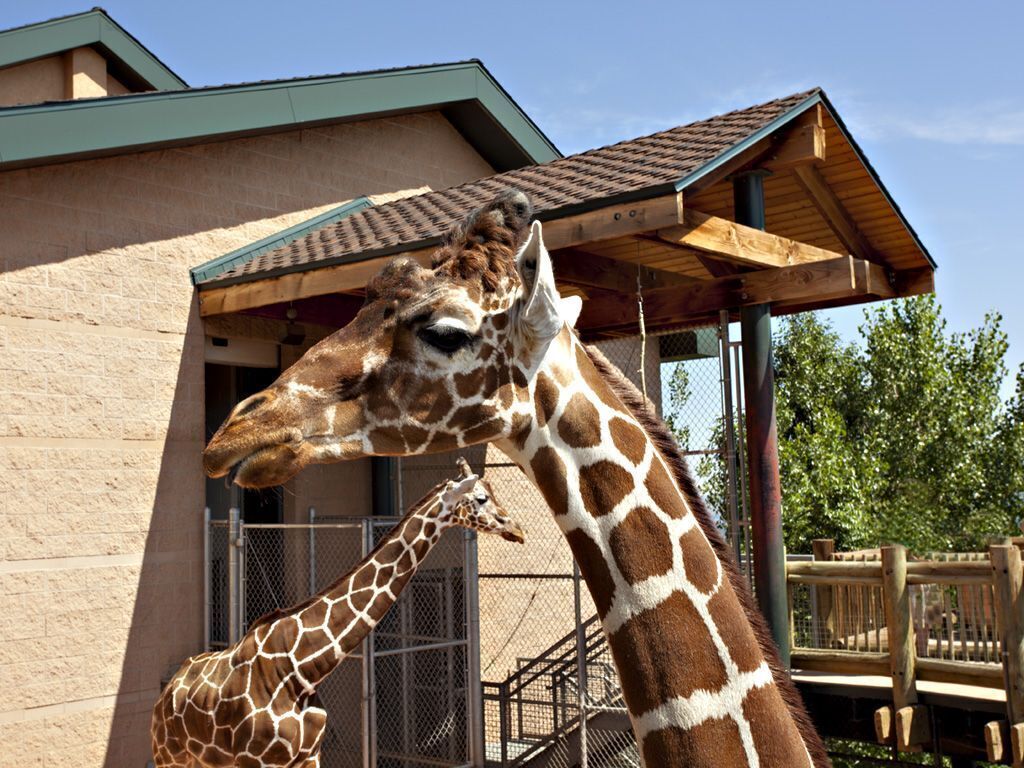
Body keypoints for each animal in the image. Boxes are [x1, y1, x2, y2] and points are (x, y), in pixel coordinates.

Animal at [152, 458, 523, 768]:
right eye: (481, 498)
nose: (517, 528)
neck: (302, 670)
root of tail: (168, 690)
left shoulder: (309, 756)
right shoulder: (255, 760)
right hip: (170, 756)